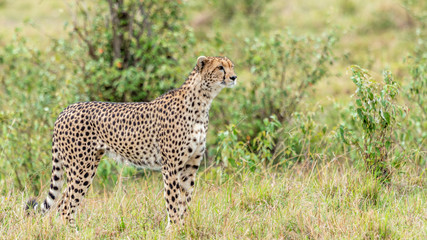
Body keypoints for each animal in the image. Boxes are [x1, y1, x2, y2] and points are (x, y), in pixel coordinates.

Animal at [27, 55, 237, 227]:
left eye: (232, 66)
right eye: (220, 67)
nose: (234, 77)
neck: (202, 101)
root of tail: (66, 109)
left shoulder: (190, 167)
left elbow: (184, 201)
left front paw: (182, 228)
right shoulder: (171, 167)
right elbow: (172, 201)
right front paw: (173, 230)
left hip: (84, 165)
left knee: (63, 202)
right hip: (81, 167)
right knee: (66, 205)